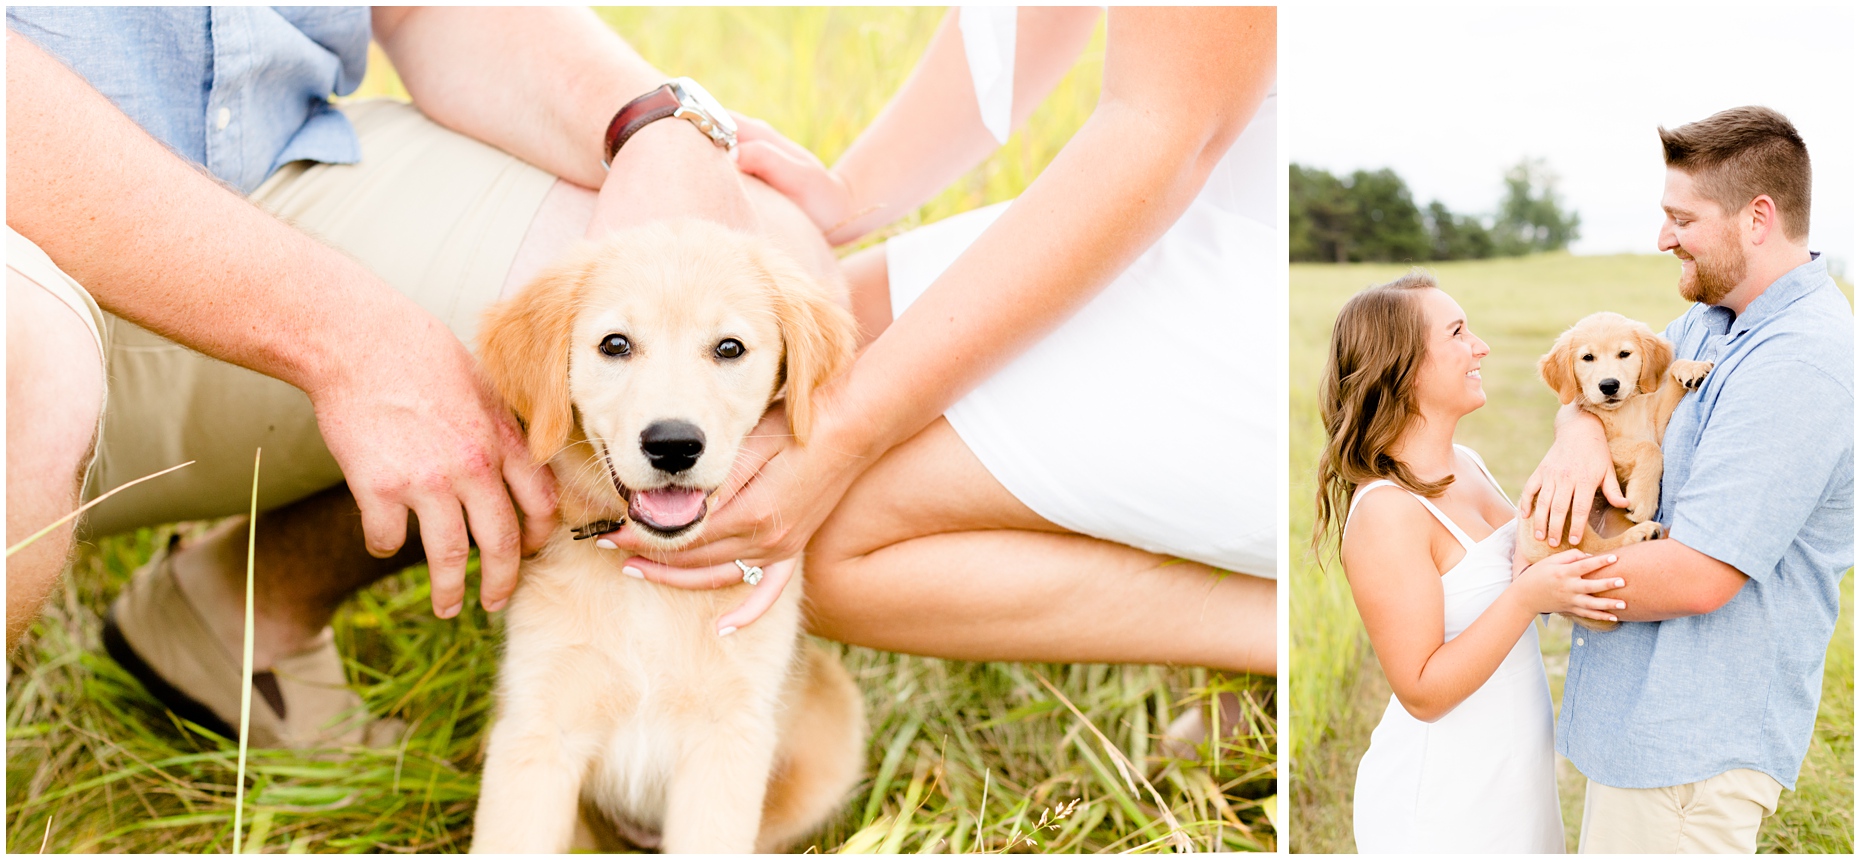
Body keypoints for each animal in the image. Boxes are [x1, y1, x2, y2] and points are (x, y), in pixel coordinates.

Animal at [468, 221, 866, 852]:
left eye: (729, 348)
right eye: (615, 345)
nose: (674, 444)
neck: (649, 586)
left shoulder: (729, 739)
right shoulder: (535, 727)